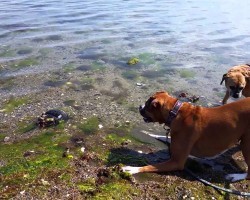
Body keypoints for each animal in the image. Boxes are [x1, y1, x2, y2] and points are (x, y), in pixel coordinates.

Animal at [122, 91, 250, 182]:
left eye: (148, 105)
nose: (140, 106)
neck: (175, 112)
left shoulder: (176, 162)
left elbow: (149, 166)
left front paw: (131, 169)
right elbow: (163, 137)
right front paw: (149, 133)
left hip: (246, 145)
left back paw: (236, 176)